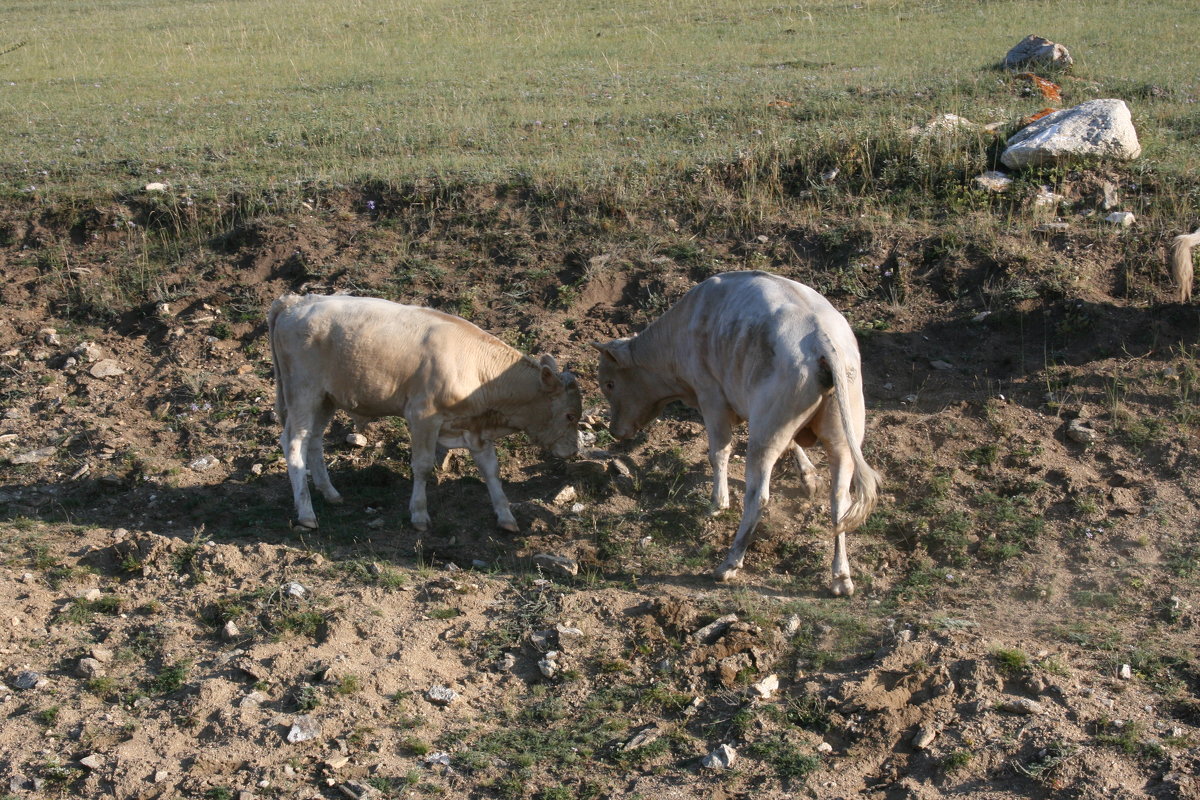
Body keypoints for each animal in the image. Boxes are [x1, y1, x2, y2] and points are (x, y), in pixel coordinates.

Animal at [268, 293, 585, 532]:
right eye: (570, 415)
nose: (573, 452)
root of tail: (297, 300)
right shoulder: (423, 416)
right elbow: (422, 465)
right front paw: (419, 514)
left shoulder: (475, 427)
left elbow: (491, 471)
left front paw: (506, 517)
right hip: (303, 392)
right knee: (294, 443)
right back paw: (306, 513)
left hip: (326, 398)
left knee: (314, 440)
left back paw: (331, 493)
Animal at [595, 272, 878, 597]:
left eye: (610, 384)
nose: (615, 431)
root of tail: (820, 338)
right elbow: (793, 445)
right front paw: (808, 476)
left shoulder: (711, 396)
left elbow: (719, 452)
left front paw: (718, 503)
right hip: (840, 438)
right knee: (840, 501)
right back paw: (841, 577)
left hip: (764, 436)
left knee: (759, 498)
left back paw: (729, 563)